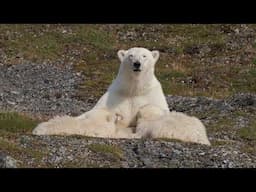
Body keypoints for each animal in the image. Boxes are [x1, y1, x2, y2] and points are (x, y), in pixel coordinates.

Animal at [32, 47, 210, 145]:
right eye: (131, 55)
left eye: (144, 55)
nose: (137, 64)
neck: (134, 88)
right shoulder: (113, 95)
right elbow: (94, 111)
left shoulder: (153, 96)